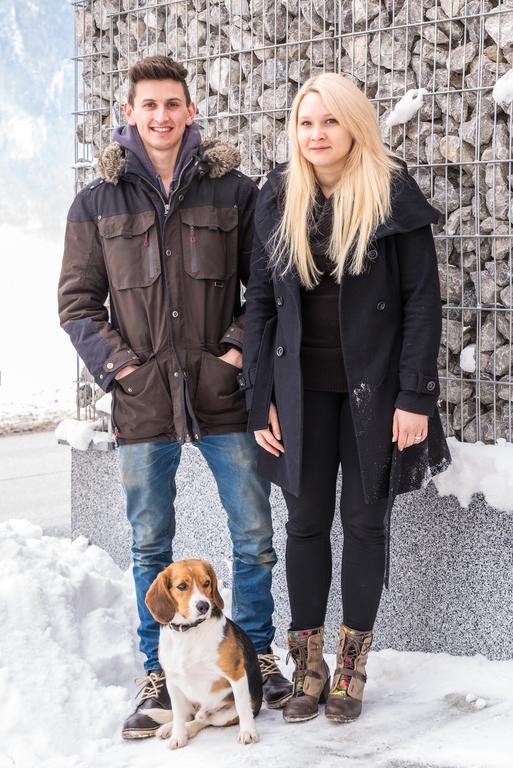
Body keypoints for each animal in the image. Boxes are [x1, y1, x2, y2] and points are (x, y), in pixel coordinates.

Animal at [145, 560, 262, 752]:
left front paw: (248, 732)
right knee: (188, 715)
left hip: (222, 715)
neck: (188, 631)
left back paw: (188, 728)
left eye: (207, 583)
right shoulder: (172, 681)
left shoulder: (236, 674)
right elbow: (178, 715)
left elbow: (243, 707)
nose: (204, 606)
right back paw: (170, 728)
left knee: (203, 719)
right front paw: (178, 736)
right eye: (182, 586)